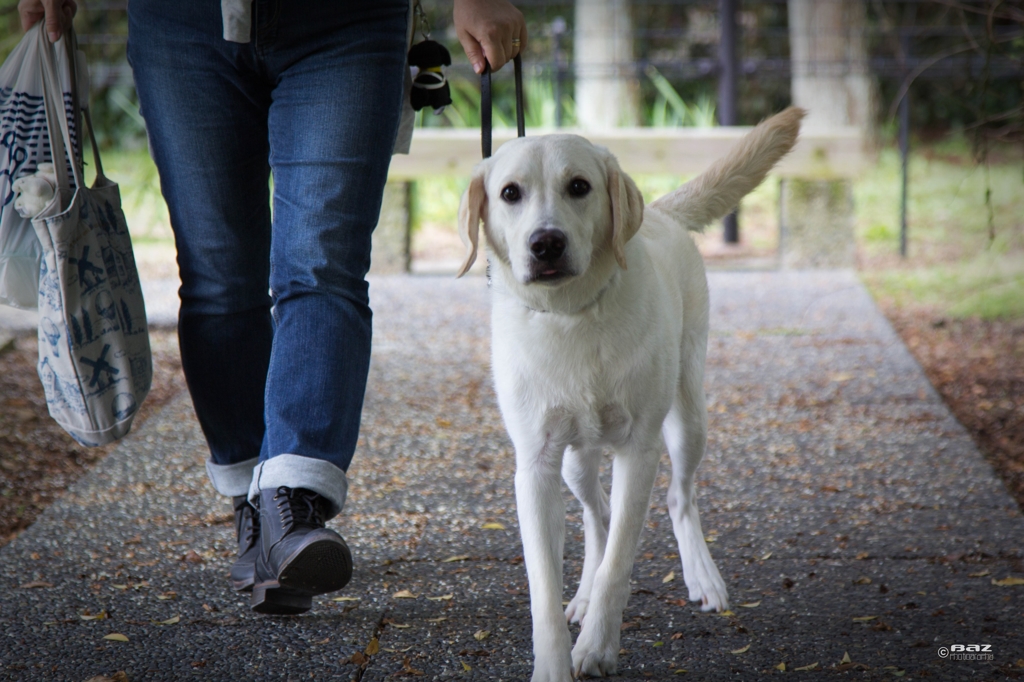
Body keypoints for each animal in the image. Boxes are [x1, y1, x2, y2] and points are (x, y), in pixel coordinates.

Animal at [460, 107, 802, 679]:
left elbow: (619, 563)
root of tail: (661, 212)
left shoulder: (639, 451)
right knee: (596, 514)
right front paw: (554, 661)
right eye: (510, 193)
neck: (572, 315)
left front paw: (597, 648)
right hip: (575, 461)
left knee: (679, 498)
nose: (545, 243)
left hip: (688, 420)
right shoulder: (536, 466)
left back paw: (703, 578)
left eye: (579, 186)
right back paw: (581, 595)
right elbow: (543, 586)